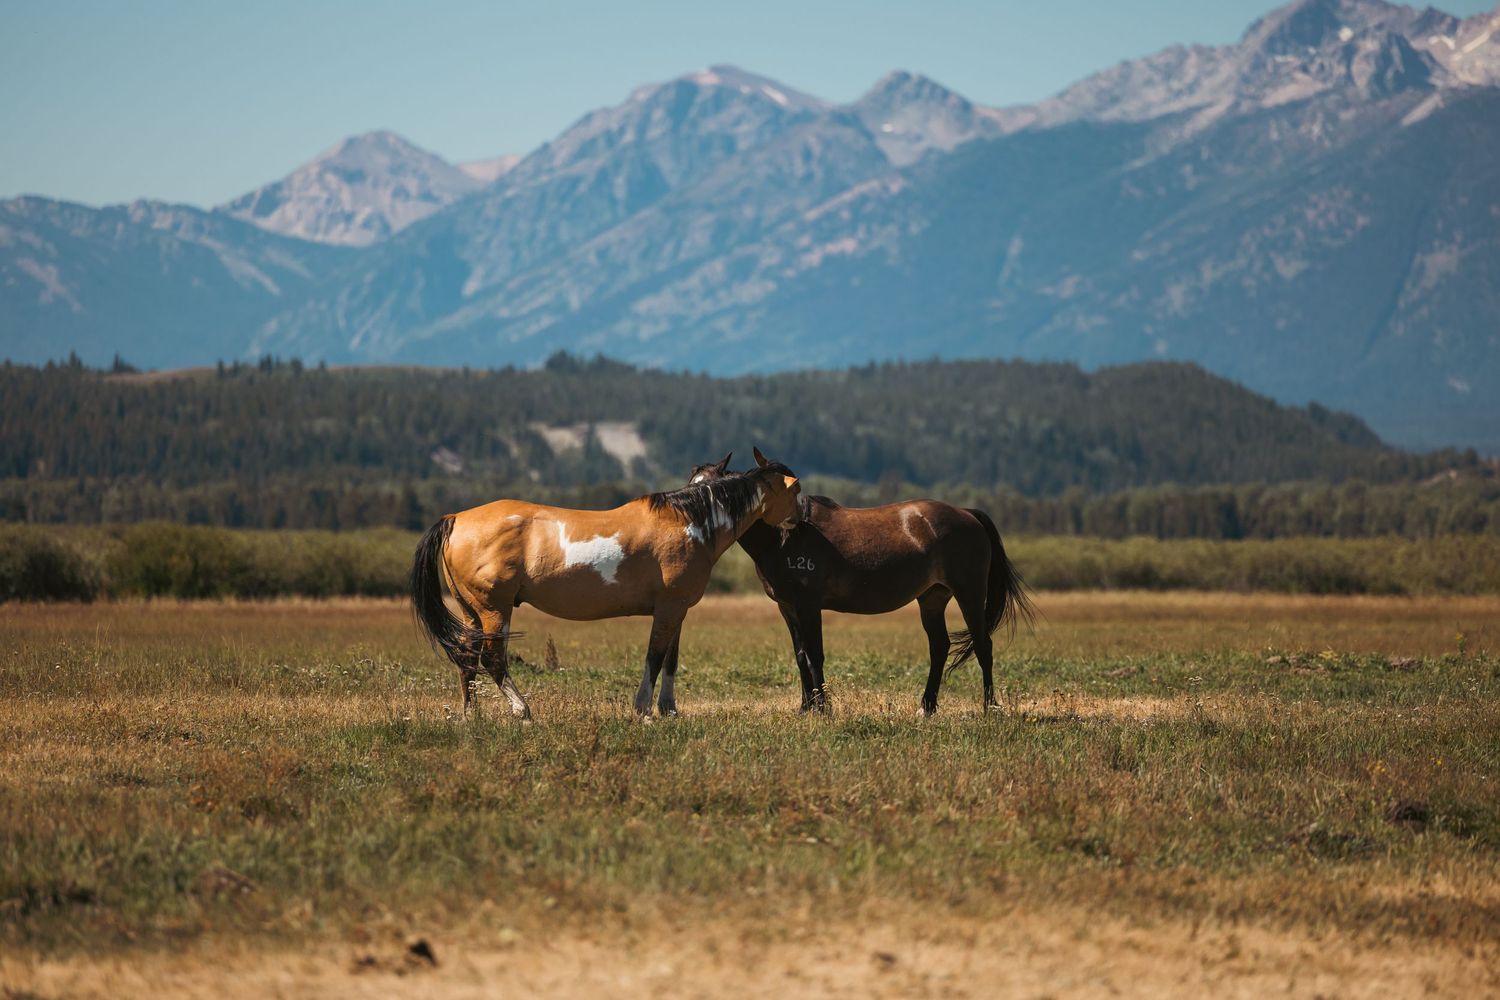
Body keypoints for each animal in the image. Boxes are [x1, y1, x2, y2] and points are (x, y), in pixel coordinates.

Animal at [410, 455, 802, 720]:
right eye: (795, 488)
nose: (801, 517)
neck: (690, 522)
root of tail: (455, 519)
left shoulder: (676, 611)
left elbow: (671, 659)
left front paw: (669, 710)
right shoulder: (669, 608)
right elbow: (654, 657)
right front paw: (643, 710)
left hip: (470, 612)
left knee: (467, 657)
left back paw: (471, 716)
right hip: (494, 609)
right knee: (493, 659)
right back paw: (523, 712)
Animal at [690, 451, 1032, 716]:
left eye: (712, 488)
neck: (783, 537)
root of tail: (967, 514)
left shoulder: (808, 605)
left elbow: (814, 654)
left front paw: (822, 708)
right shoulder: (787, 608)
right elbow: (800, 655)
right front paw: (805, 707)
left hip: (969, 593)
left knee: (983, 644)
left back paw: (990, 706)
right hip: (932, 598)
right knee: (939, 647)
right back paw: (927, 706)